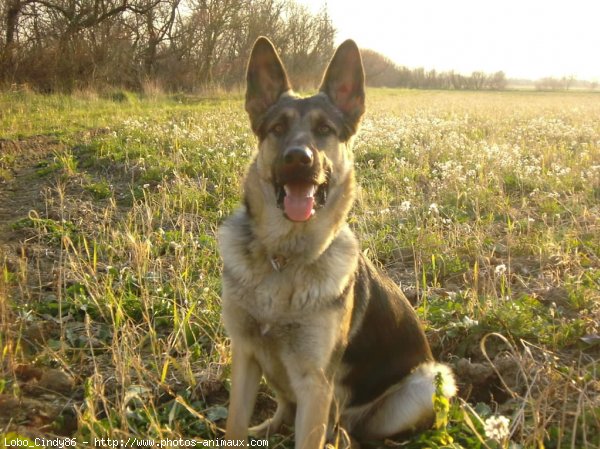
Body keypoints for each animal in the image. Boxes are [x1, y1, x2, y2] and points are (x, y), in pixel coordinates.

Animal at [218, 38, 458, 448]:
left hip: (426, 383)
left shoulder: (315, 384)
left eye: (325, 129)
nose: (298, 159)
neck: (285, 258)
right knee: (287, 410)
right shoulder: (246, 357)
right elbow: (234, 423)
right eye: (278, 127)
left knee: (355, 430)